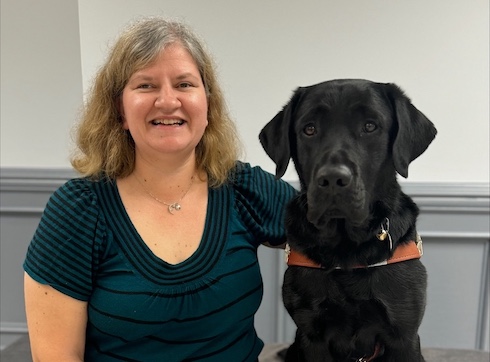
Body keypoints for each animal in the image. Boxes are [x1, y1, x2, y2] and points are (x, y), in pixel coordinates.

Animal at [260, 80, 436, 362]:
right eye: (309, 129)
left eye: (370, 126)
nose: (333, 179)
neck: (346, 249)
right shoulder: (312, 333)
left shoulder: (403, 334)